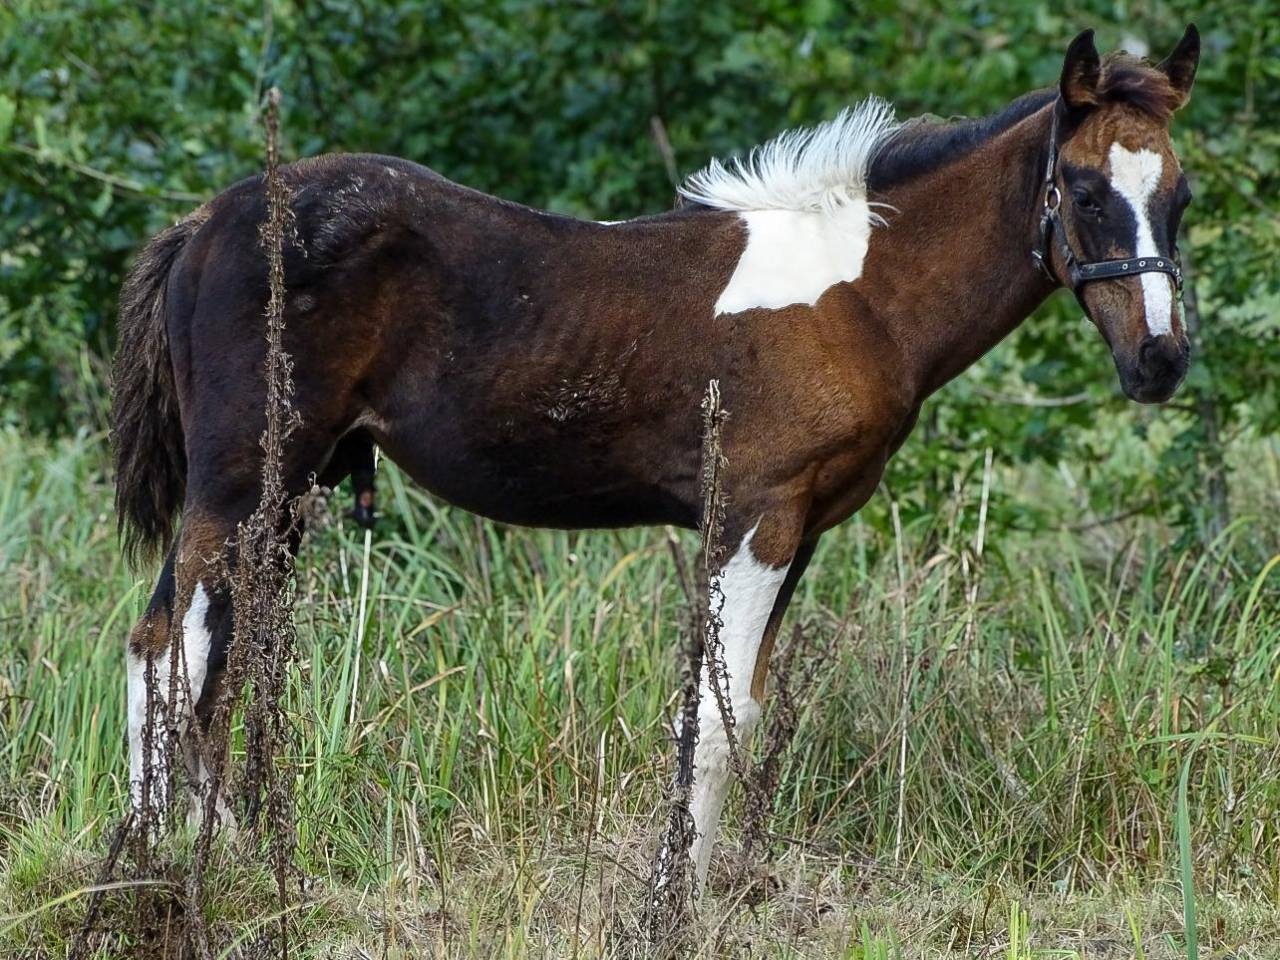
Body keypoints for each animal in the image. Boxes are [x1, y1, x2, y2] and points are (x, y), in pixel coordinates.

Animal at [113, 26, 1201, 889]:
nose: (1158, 358)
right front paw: (669, 897)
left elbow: (736, 708)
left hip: (286, 495)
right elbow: (711, 721)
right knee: (168, 648)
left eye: (1180, 197)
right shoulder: (756, 515)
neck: (857, 295)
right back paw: (160, 873)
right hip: (241, 484)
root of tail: (201, 224)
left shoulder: (797, 528)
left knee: (208, 663)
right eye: (1083, 191)